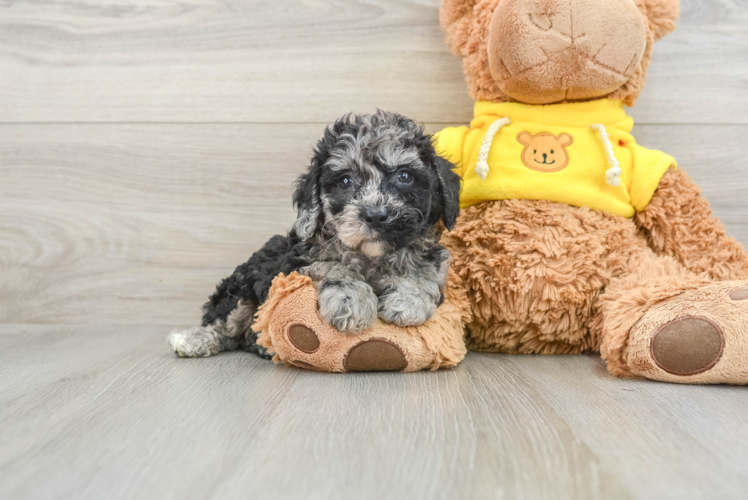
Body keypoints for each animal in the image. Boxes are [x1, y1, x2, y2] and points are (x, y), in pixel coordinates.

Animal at [169, 111, 462, 358]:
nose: (375, 215)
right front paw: (351, 300)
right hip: (242, 283)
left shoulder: (434, 262)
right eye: (345, 181)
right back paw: (191, 340)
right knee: (225, 324)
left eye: (404, 176)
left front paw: (407, 300)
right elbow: (331, 266)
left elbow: (423, 274)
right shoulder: (298, 261)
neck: (371, 257)